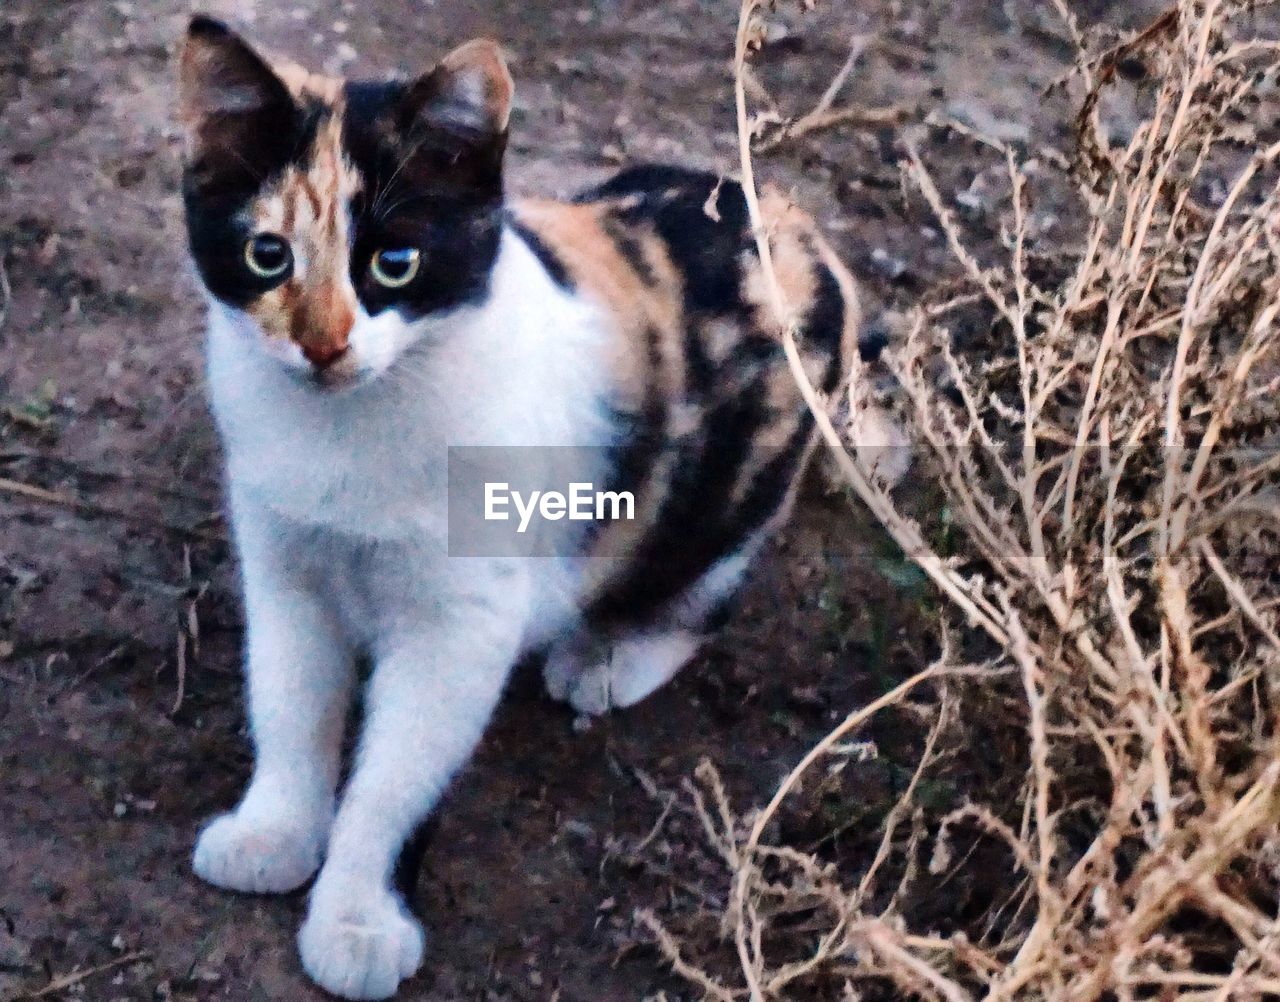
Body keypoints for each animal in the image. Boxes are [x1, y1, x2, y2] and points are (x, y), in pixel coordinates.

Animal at [177, 15, 860, 1002]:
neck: (349, 429)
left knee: (704, 586)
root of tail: (802, 230)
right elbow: (290, 706)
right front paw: (275, 830)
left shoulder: (461, 626)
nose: (323, 345)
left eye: (395, 262)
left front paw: (358, 917)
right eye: (267, 255)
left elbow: (395, 779)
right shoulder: (283, 566)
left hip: (731, 490)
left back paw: (611, 655)